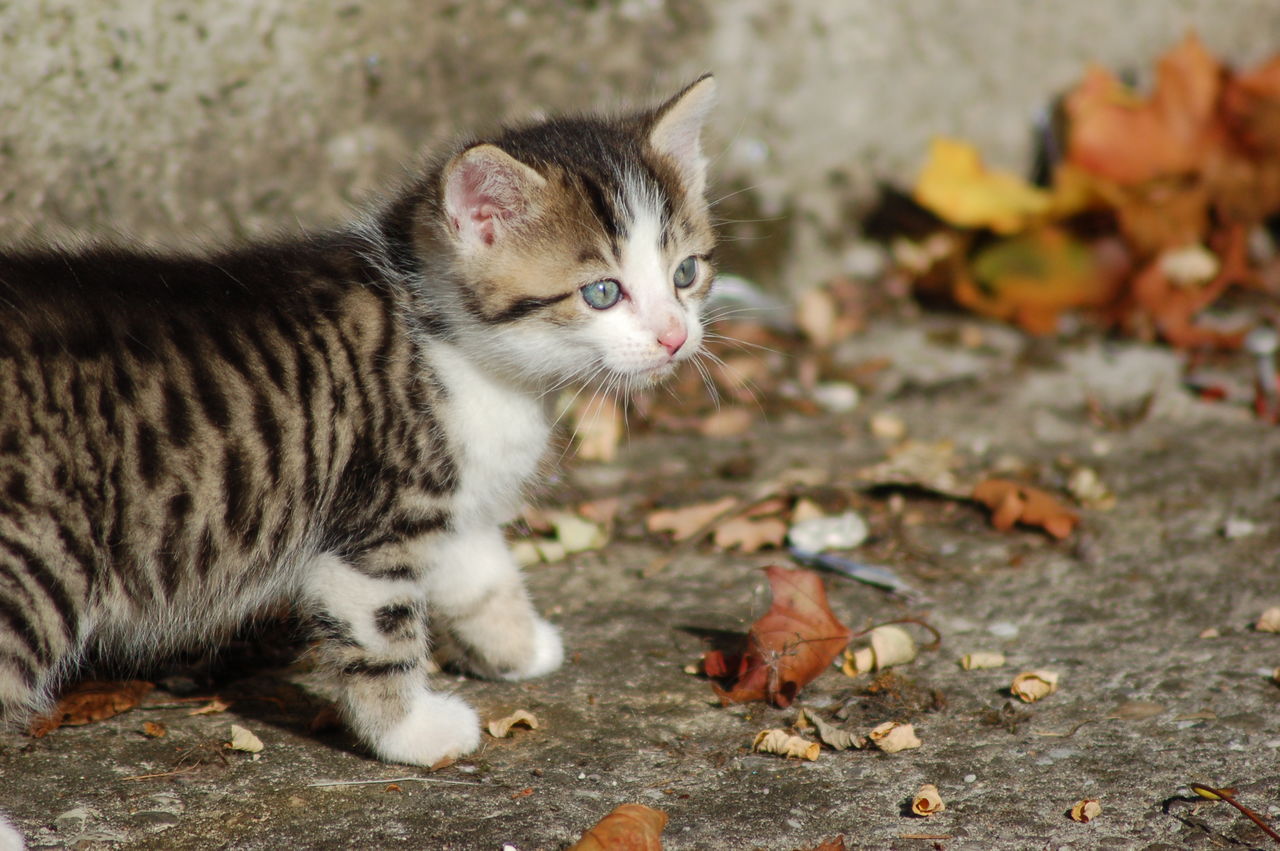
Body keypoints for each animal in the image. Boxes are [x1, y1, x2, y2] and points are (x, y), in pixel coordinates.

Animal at [0, 72, 721, 788]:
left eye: (686, 273)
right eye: (602, 292)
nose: (675, 337)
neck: (458, 347)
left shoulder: (451, 496)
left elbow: (482, 570)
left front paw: (517, 645)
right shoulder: (369, 528)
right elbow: (382, 633)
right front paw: (414, 732)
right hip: (31, 566)